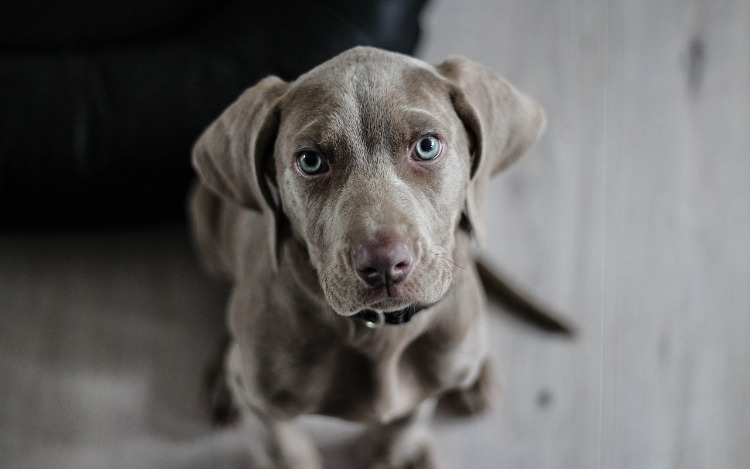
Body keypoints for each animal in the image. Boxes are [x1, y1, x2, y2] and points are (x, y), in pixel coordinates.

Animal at [189, 44, 548, 468]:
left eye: (427, 146)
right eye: (310, 161)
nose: (383, 265)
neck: (379, 332)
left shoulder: (421, 389)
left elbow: (405, 423)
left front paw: (394, 453)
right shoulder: (264, 408)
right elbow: (287, 451)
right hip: (204, 218)